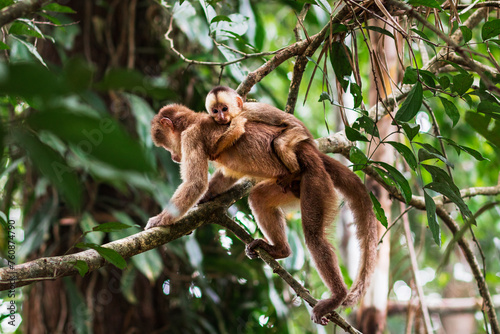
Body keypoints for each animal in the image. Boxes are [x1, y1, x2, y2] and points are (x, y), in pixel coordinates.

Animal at [146, 103, 376, 324]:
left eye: (166, 145)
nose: (173, 157)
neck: (195, 120)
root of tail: (312, 152)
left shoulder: (191, 137)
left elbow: (195, 184)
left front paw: (161, 219)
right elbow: (226, 176)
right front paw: (204, 200)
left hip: (315, 180)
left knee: (314, 237)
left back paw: (337, 295)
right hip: (292, 185)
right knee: (258, 198)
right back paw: (281, 250)